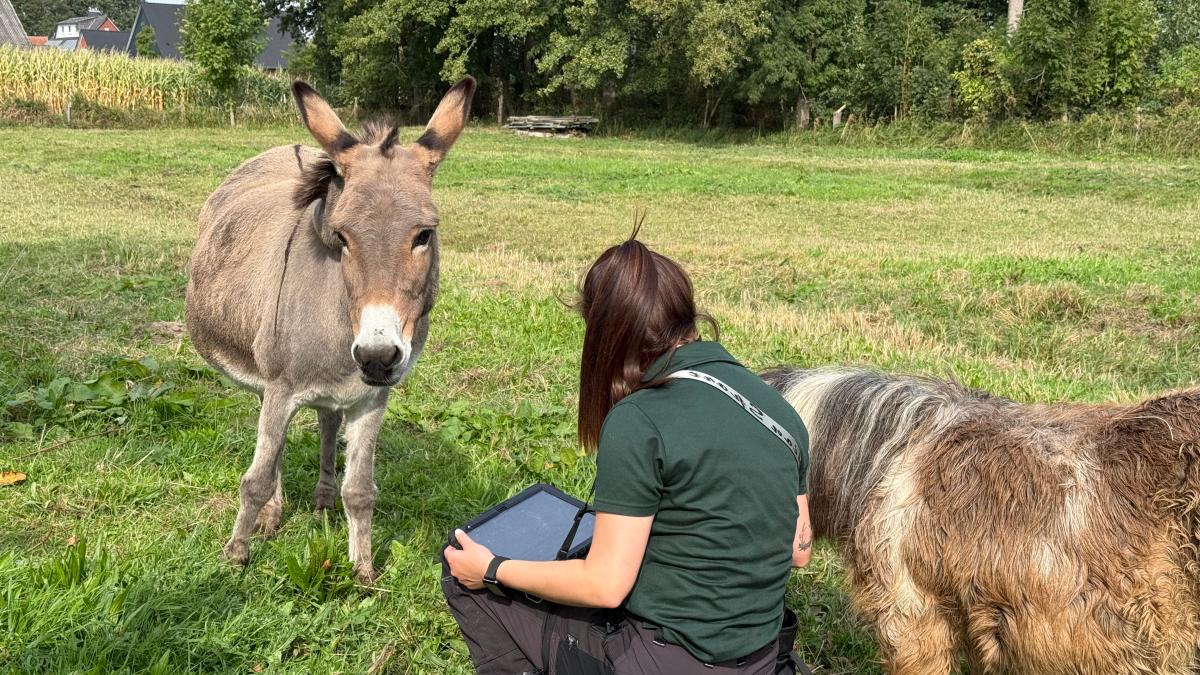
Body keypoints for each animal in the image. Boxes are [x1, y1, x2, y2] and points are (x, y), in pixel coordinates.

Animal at [186, 77, 475, 582]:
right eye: (342, 237)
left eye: (424, 234)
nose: (376, 357)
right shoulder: (281, 388)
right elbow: (256, 478)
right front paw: (236, 554)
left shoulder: (372, 398)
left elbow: (359, 489)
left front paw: (363, 571)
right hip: (266, 379)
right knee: (274, 444)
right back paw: (273, 513)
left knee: (326, 421)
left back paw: (320, 498)